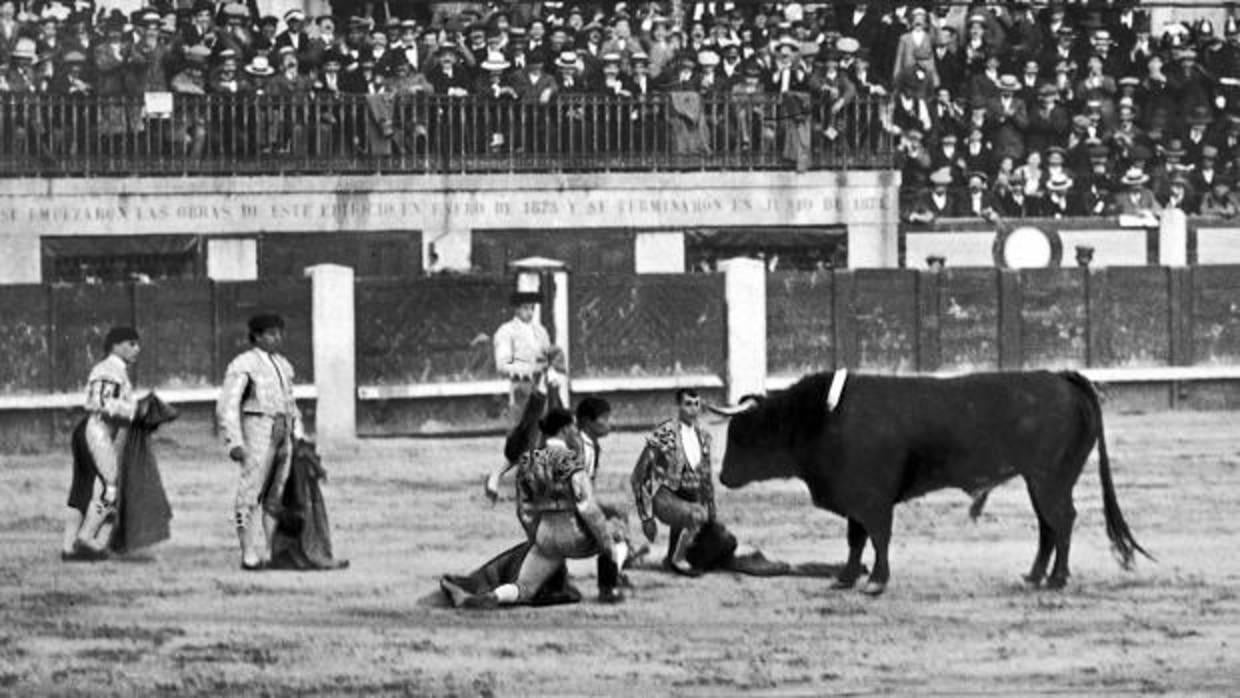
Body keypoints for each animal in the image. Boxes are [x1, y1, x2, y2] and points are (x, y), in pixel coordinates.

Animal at [719, 371, 1150, 595]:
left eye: (741, 437)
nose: (722, 477)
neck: (826, 417)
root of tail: (1061, 378)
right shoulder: (854, 497)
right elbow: (855, 540)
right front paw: (844, 579)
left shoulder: (872, 499)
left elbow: (878, 536)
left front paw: (876, 582)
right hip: (1041, 480)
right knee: (1049, 524)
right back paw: (1034, 576)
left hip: (1049, 478)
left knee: (1061, 520)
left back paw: (1057, 580)